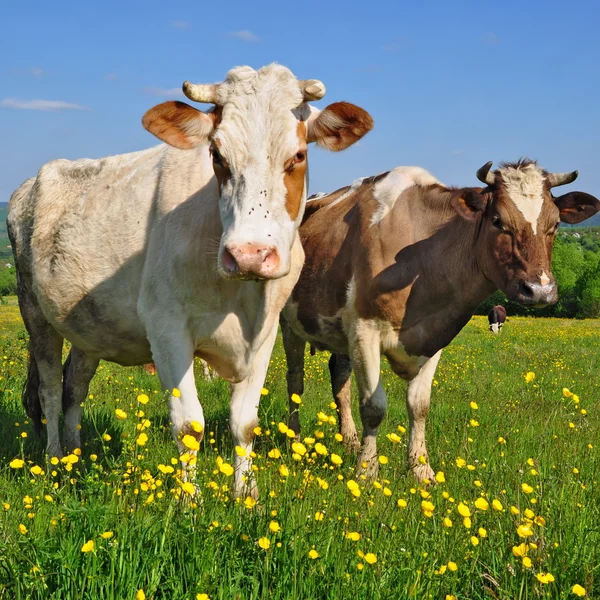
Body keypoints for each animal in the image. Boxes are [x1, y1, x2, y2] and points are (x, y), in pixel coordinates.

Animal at [8, 64, 376, 496]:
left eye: (298, 155)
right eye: (217, 155)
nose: (249, 254)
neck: (240, 294)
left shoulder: (266, 331)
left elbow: (245, 423)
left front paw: (246, 495)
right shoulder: (166, 328)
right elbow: (189, 425)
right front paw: (190, 501)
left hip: (89, 325)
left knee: (73, 388)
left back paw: (74, 456)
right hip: (34, 311)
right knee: (49, 388)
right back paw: (53, 461)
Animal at [282, 159, 600, 482]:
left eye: (556, 224)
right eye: (497, 220)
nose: (539, 290)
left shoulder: (434, 337)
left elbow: (419, 405)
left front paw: (422, 471)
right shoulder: (364, 330)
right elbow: (373, 406)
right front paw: (366, 472)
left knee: (339, 380)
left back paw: (348, 440)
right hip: (288, 323)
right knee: (295, 383)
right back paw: (294, 439)